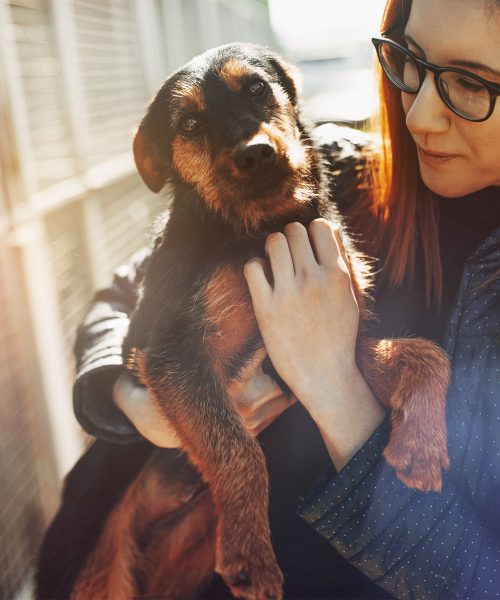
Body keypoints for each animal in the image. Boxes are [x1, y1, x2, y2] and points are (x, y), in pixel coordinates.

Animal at [71, 43, 454, 600]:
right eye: (188, 124)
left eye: (256, 87)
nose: (254, 154)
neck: (264, 226)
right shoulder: (175, 357)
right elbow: (238, 449)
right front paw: (250, 555)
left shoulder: (319, 352)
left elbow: (425, 353)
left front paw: (420, 448)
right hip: (101, 565)